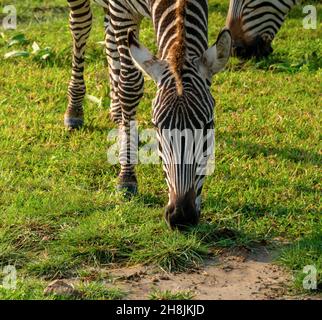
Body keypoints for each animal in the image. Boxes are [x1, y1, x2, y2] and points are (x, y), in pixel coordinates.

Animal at [65, 0, 231, 230]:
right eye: (156, 126)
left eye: (208, 124)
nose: (181, 217)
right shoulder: (123, 11)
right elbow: (130, 85)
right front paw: (126, 177)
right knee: (80, 27)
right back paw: (75, 110)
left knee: (109, 38)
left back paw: (117, 114)